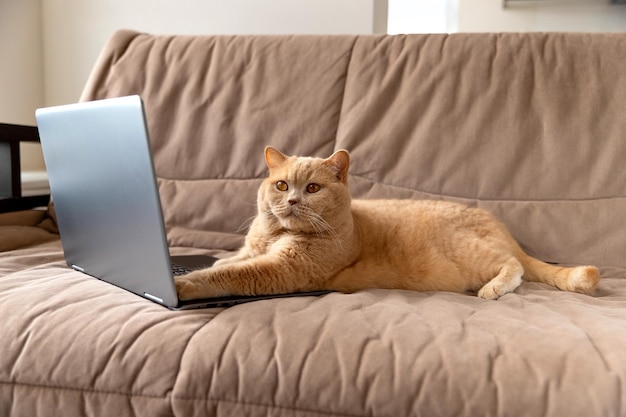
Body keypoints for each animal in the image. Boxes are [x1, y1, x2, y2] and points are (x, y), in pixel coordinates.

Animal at [173, 145, 596, 300]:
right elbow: (231, 260)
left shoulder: (282, 270)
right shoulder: (253, 250)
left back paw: (493, 288)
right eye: (281, 185)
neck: (276, 233)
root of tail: (502, 228)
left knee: (513, 268)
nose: (291, 200)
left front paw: (184, 284)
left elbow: (227, 275)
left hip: (474, 254)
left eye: (312, 188)